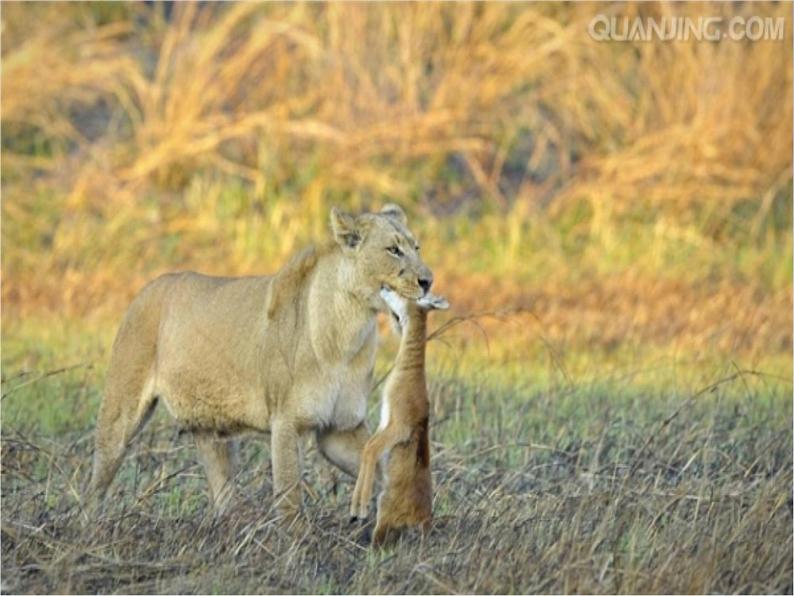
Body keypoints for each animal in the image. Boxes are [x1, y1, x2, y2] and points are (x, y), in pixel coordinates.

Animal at [352, 288, 448, 544]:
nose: (385, 288)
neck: (408, 376)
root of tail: (425, 519)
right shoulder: (384, 425)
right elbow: (368, 447)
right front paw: (355, 508)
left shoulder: (398, 426)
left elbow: (370, 449)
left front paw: (360, 509)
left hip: (384, 518)